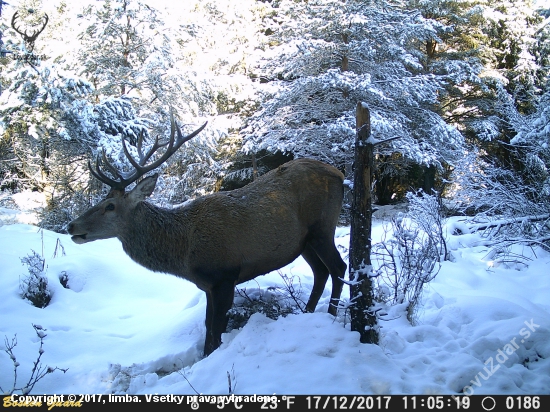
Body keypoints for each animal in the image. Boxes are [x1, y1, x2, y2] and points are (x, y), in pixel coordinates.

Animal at [67, 111, 348, 356]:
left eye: (110, 206)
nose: (72, 226)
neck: (186, 254)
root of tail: (340, 174)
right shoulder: (207, 285)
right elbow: (207, 327)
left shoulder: (226, 275)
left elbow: (217, 328)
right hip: (304, 242)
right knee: (320, 271)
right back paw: (308, 313)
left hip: (323, 227)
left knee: (338, 267)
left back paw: (331, 316)